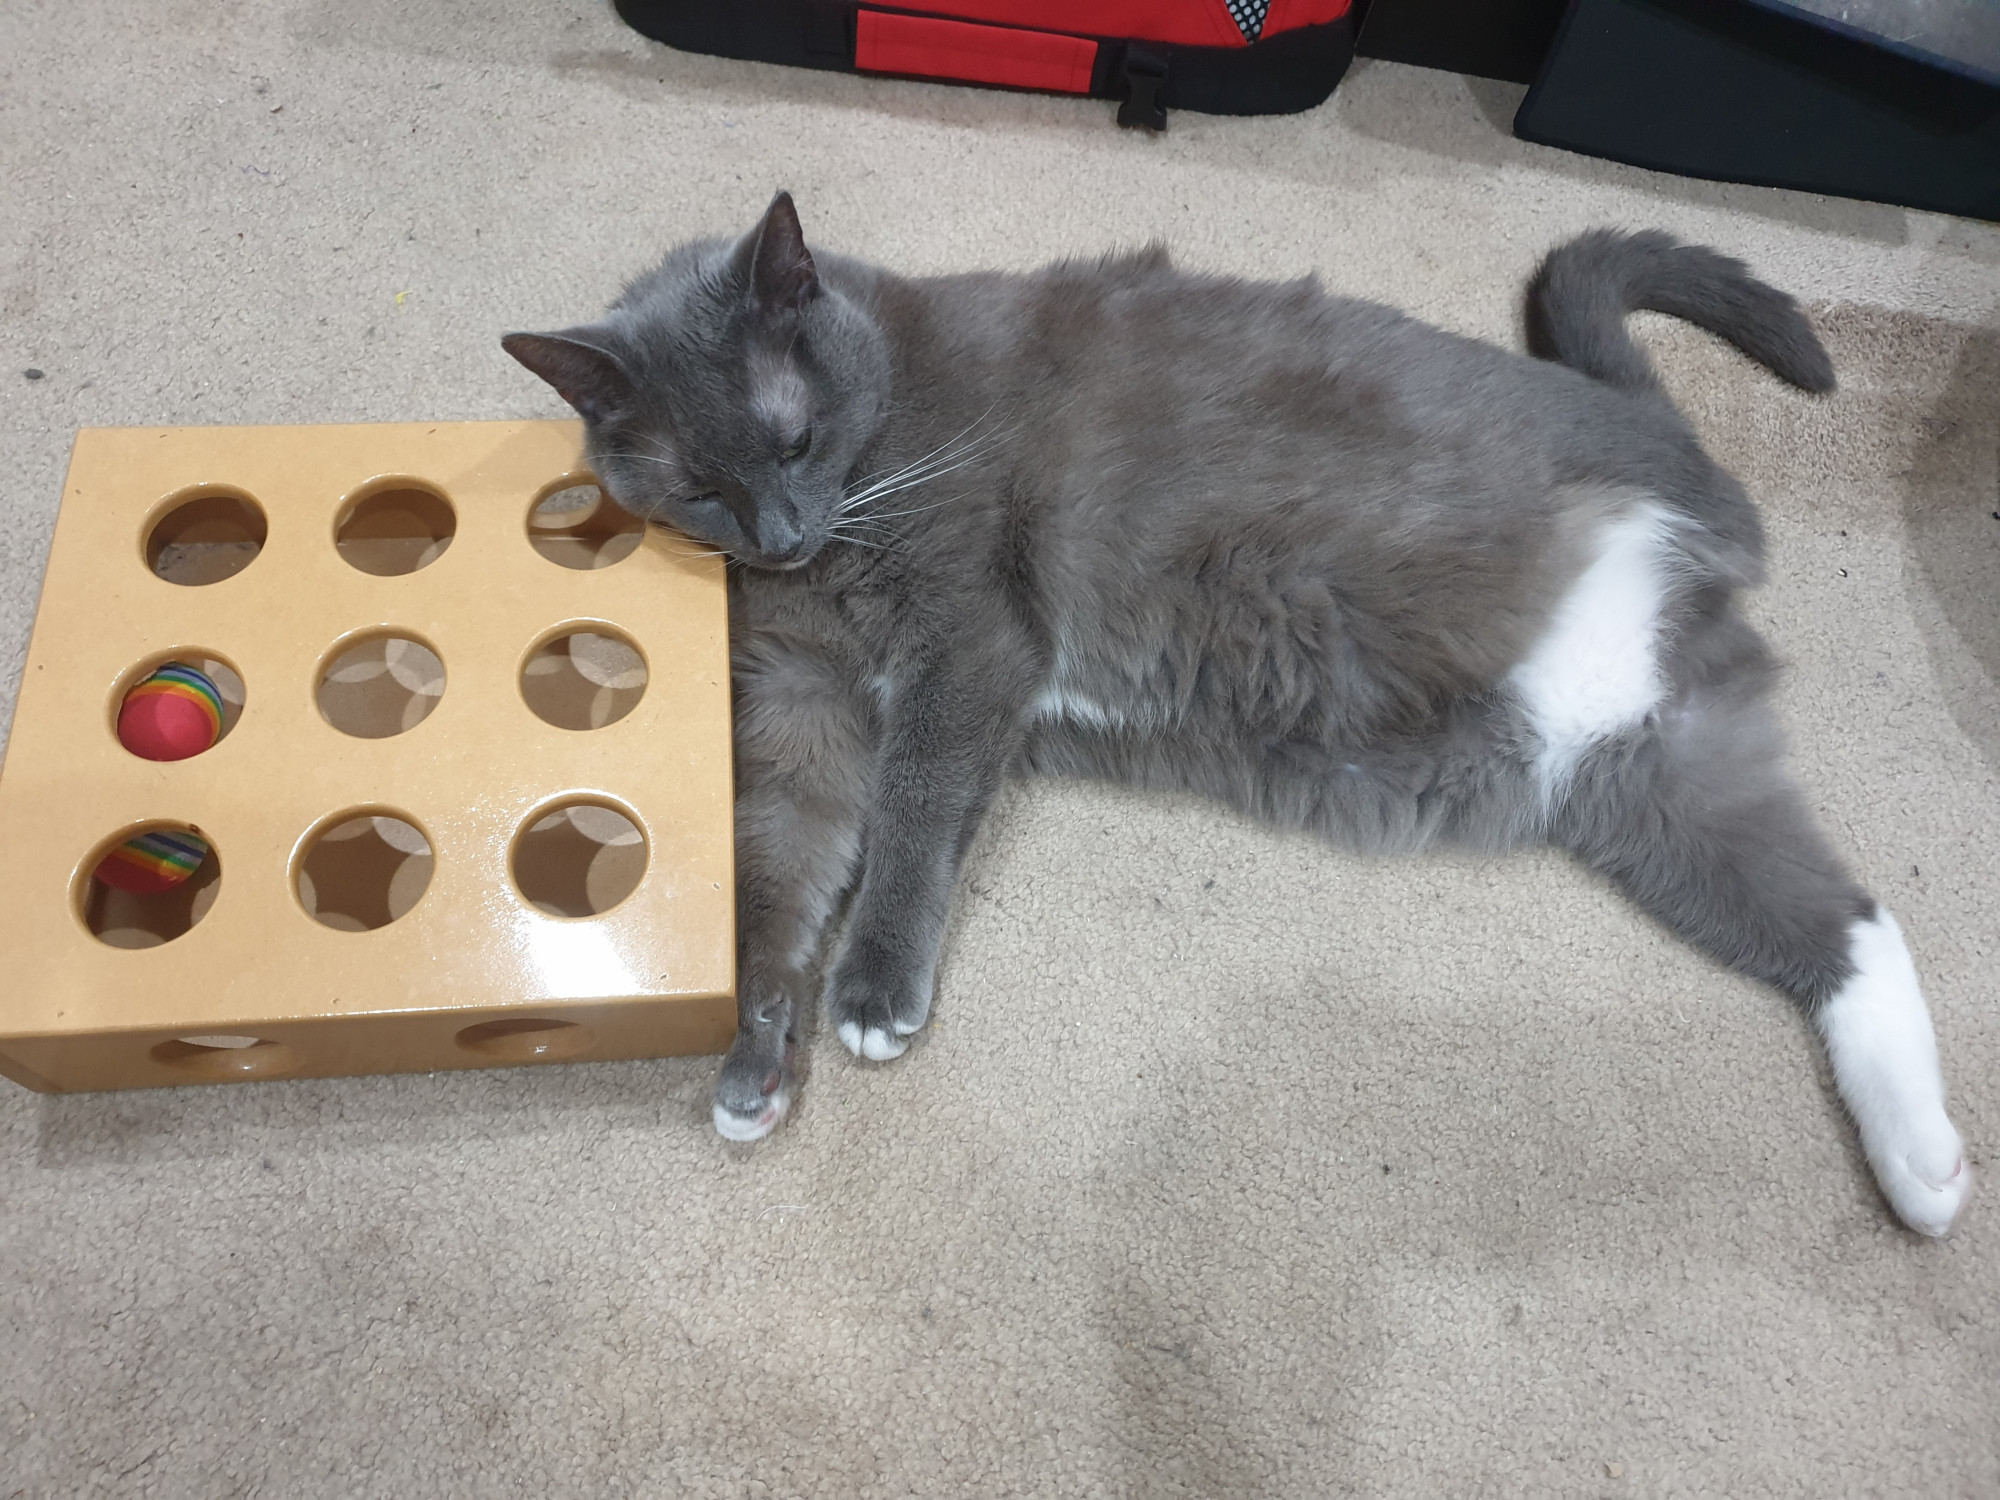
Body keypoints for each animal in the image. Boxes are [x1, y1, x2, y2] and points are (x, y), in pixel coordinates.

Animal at [508, 194, 1976, 1240]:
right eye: (700, 487)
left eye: (794, 436)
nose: (781, 531)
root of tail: (1669, 446)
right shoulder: (801, 700)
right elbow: (777, 867)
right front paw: (758, 1055)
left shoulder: (969, 635)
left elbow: (916, 806)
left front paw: (871, 993)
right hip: (1639, 770)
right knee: (1847, 925)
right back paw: (1925, 1170)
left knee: (1849, 921)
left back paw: (1927, 1175)